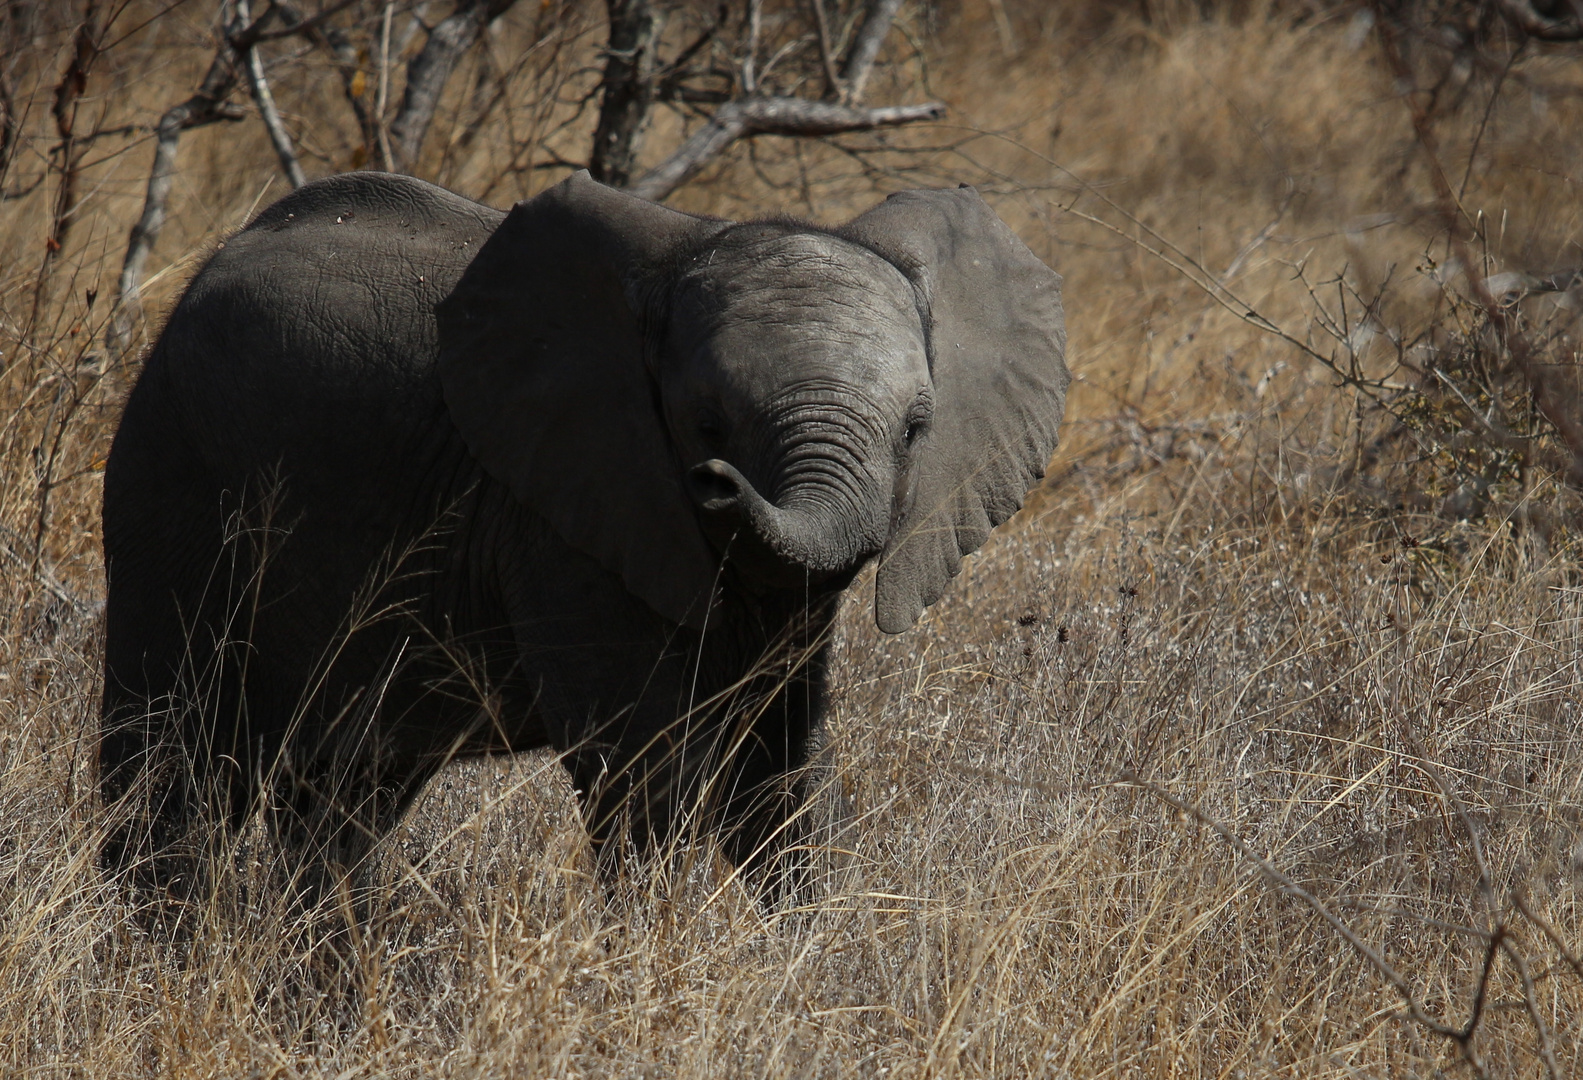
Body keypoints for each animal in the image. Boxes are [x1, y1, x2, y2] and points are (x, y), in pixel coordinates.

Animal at [95, 170, 1063, 899]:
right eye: (704, 425)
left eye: (915, 429)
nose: (716, 485)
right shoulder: (563, 512)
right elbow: (643, 768)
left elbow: (778, 762)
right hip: (171, 482)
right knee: (170, 757)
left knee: (339, 794)